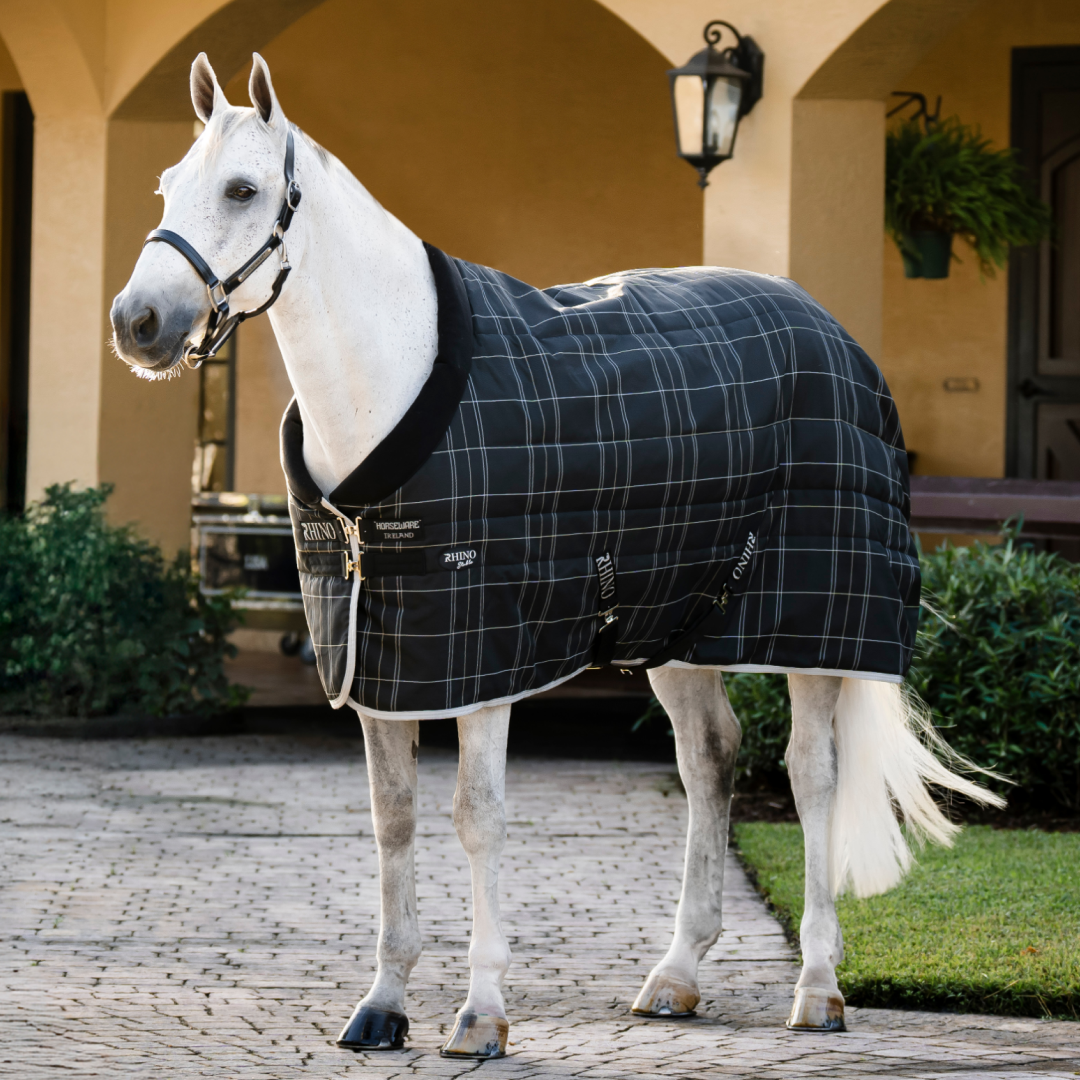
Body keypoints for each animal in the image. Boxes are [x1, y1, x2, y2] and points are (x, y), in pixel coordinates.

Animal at [110, 52, 1002, 1059]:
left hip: (813, 634)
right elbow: (393, 820)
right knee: (711, 760)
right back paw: (676, 976)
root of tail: (833, 331)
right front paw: (382, 1004)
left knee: (811, 777)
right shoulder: (380, 658)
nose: (137, 322)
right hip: (678, 628)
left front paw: (480, 1013)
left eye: (242, 188)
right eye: (167, 185)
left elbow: (477, 817)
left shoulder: (483, 659)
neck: (396, 379)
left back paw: (816, 987)